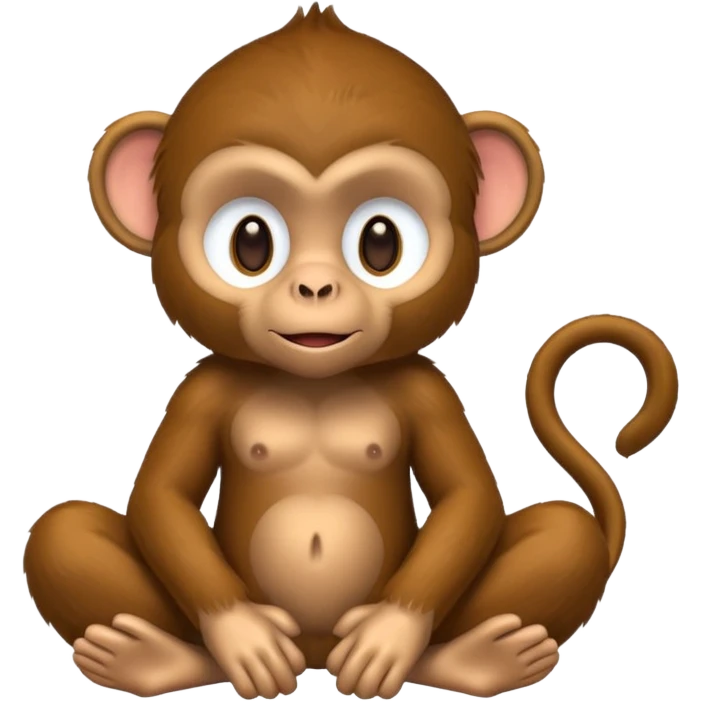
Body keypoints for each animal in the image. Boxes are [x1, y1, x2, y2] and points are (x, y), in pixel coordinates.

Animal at [23, 4, 679, 700]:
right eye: (250, 242)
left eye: (381, 241)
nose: (315, 287)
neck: (316, 379)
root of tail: (317, 658)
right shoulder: (200, 390)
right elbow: (162, 497)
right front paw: (242, 636)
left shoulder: (427, 388)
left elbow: (468, 495)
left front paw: (390, 636)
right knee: (60, 532)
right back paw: (149, 655)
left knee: (566, 531)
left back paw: (480, 656)